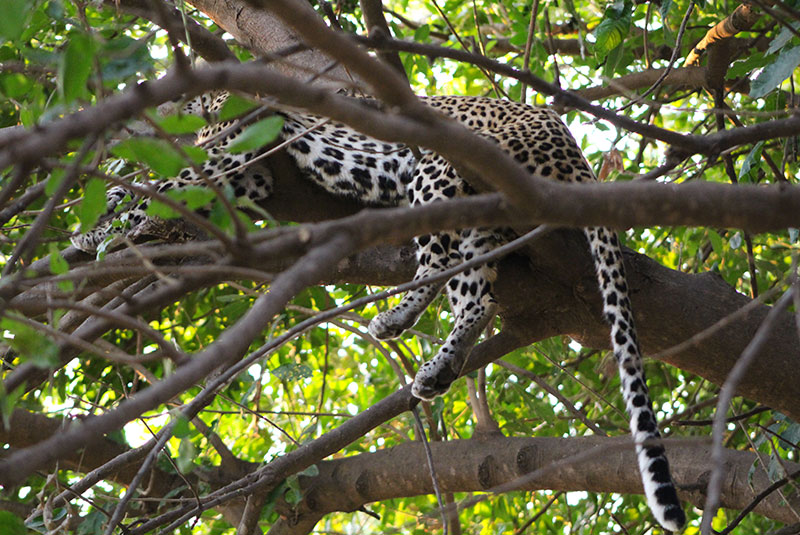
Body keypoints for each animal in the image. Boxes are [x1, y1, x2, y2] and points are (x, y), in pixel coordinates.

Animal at [72, 89, 688, 532]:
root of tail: (572, 149)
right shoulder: (252, 173)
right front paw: (106, 229)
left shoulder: (239, 151)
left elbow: (159, 187)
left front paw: (106, 231)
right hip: (476, 218)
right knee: (476, 291)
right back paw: (431, 361)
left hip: (438, 172)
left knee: (451, 274)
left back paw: (404, 326)